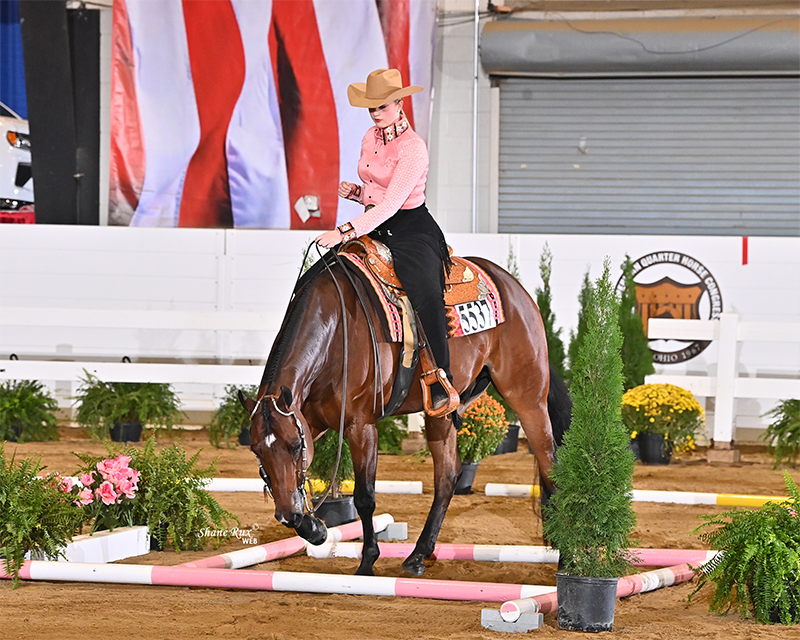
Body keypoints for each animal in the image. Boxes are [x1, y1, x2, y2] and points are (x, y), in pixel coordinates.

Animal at [239, 251, 571, 577]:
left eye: (295, 446)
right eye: (255, 450)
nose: (287, 515)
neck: (337, 332)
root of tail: (516, 290)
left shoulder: (361, 425)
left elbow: (364, 496)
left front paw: (367, 562)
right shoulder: (310, 420)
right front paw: (315, 528)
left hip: (527, 398)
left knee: (550, 463)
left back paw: (567, 559)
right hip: (442, 411)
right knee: (448, 475)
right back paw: (419, 554)